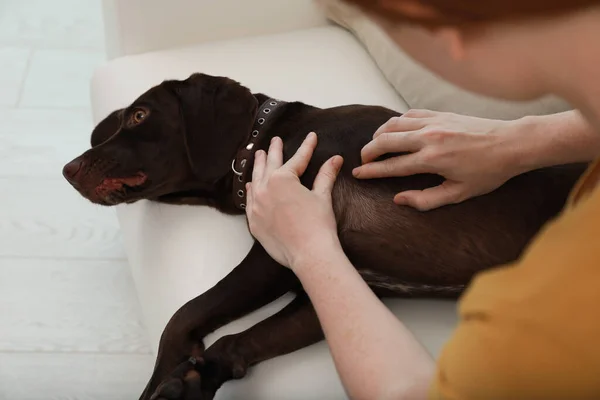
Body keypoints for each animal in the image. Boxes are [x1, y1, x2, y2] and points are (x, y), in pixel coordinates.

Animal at [63, 72, 584, 400]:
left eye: (139, 116)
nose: (67, 169)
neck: (259, 144)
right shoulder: (336, 288)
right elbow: (235, 343)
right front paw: (191, 383)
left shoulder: (277, 249)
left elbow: (183, 315)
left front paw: (161, 381)